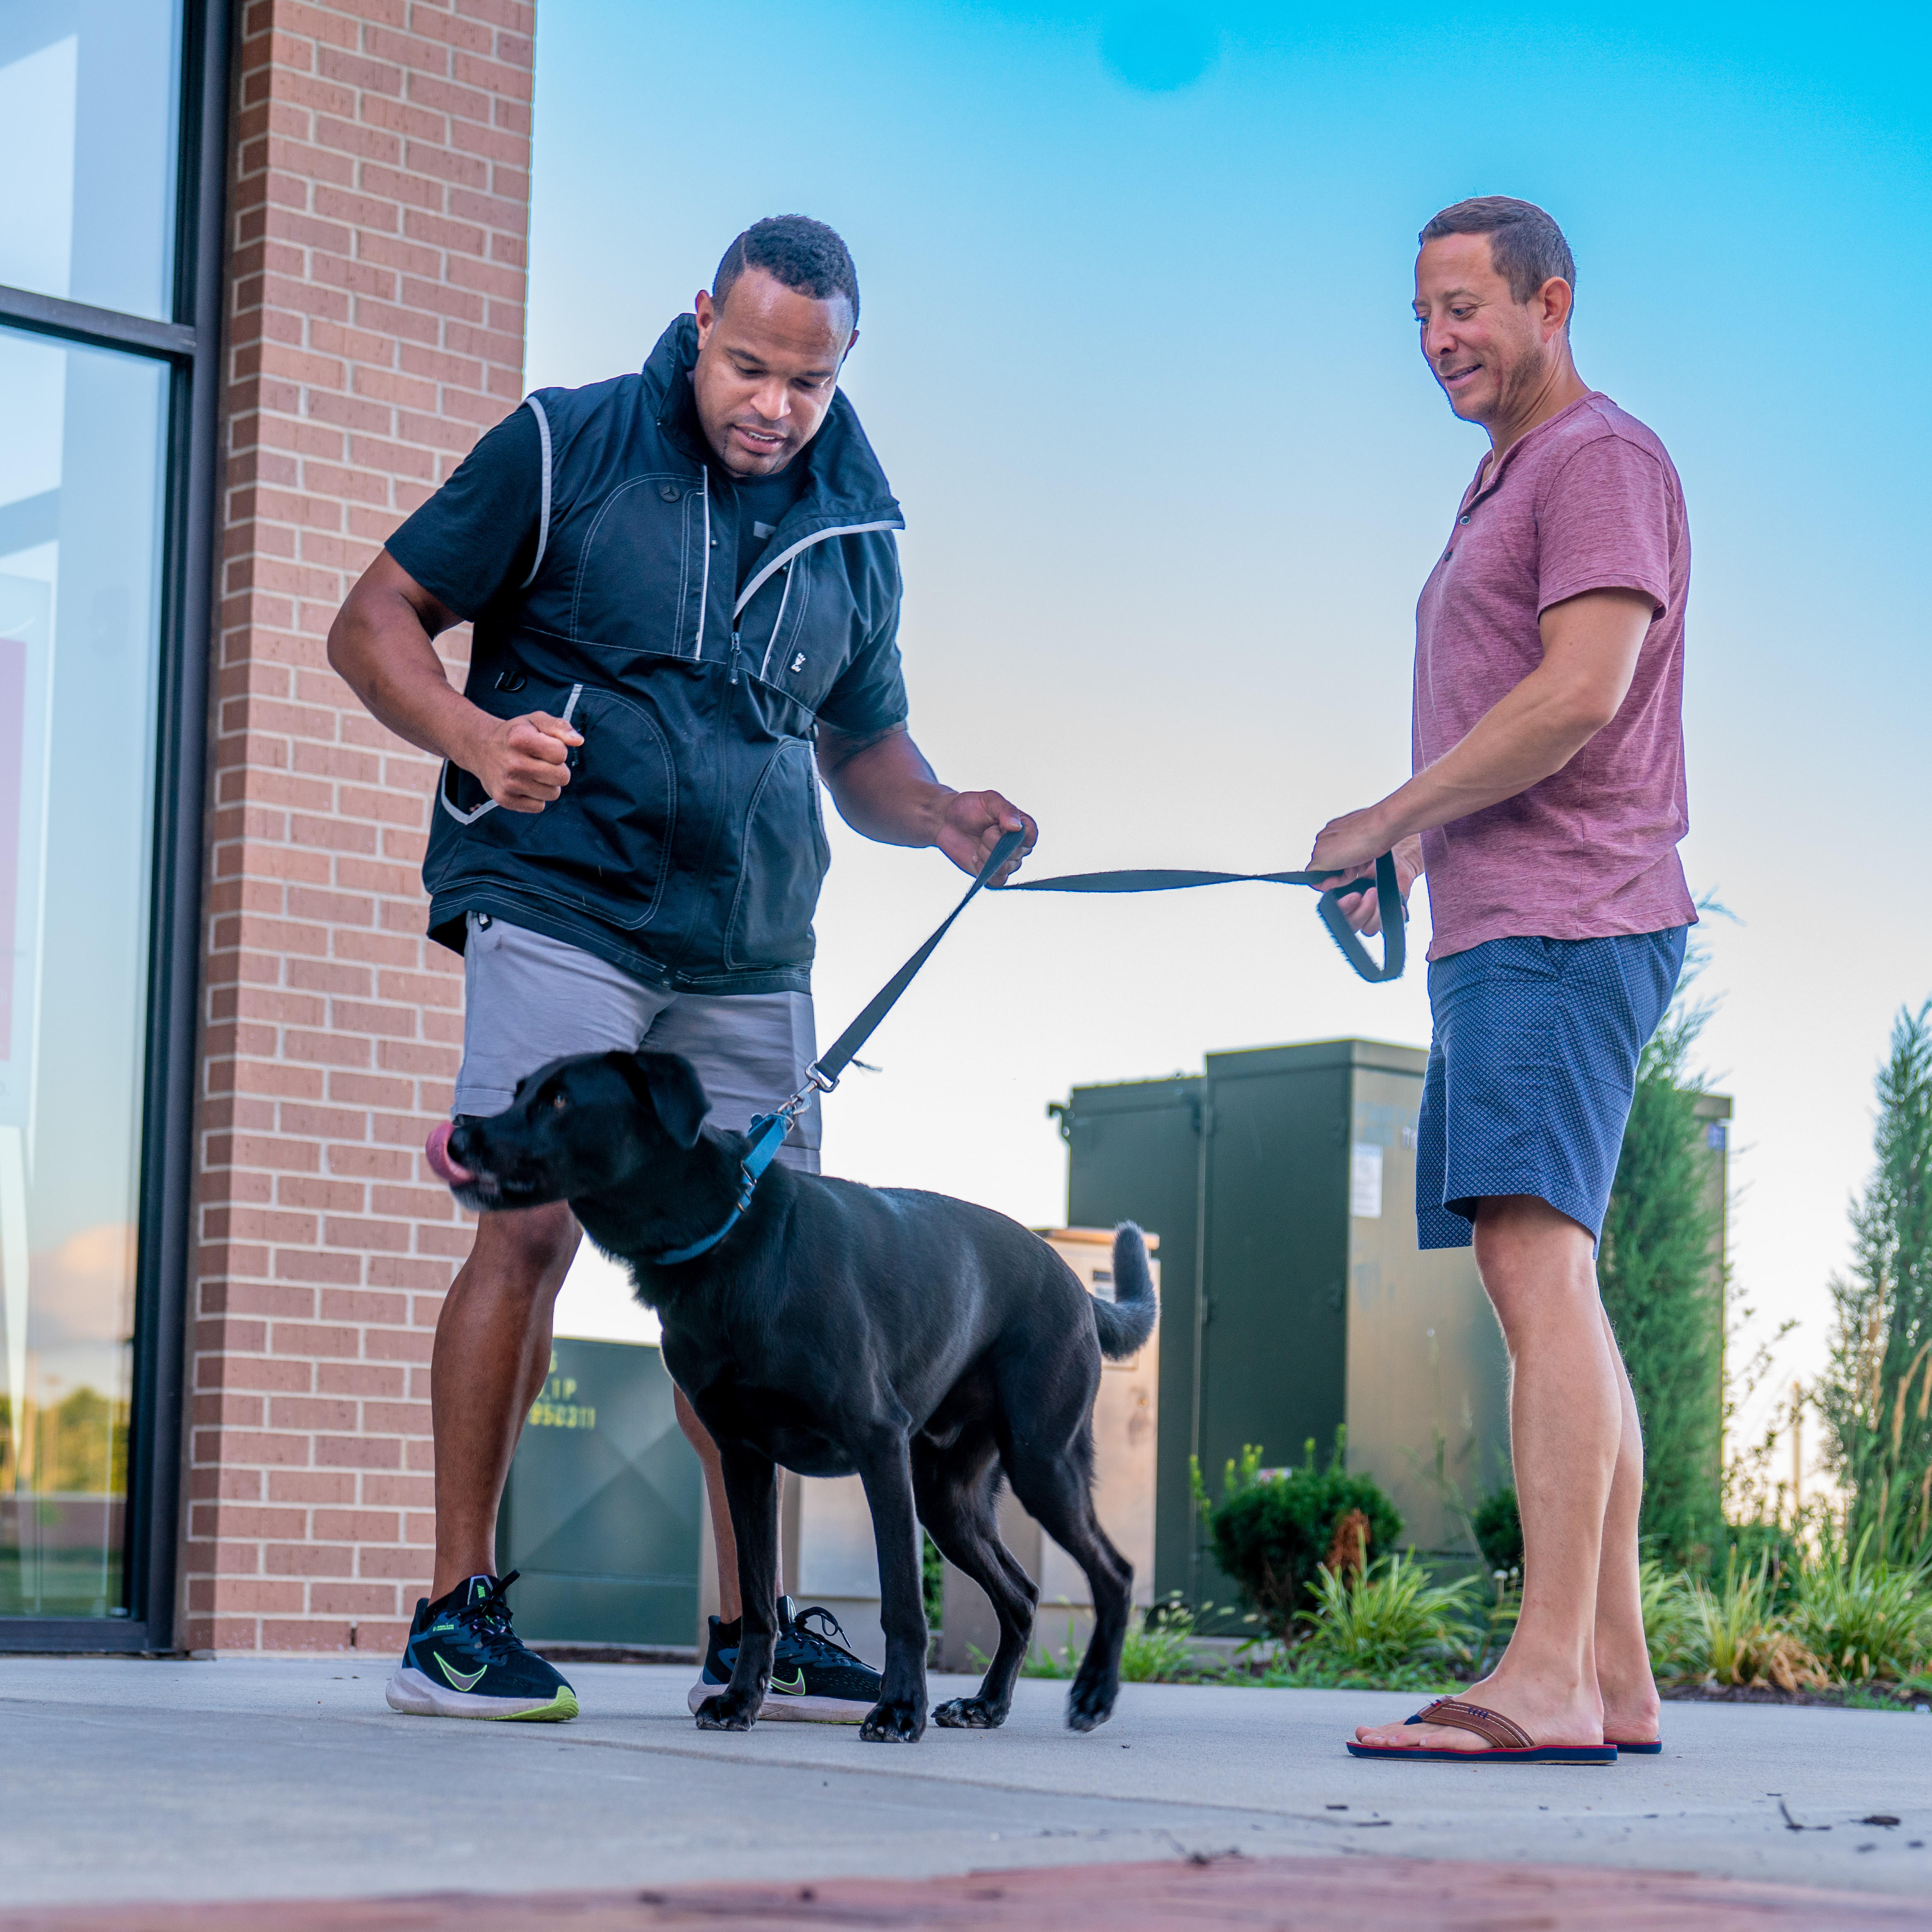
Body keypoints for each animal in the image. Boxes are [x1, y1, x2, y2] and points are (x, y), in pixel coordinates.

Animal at [436, 1051, 1151, 1746]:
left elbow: (902, 1604)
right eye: (517, 1091)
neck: (729, 1235)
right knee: (1024, 1595)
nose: (458, 1136)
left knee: (1113, 1572)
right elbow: (756, 1599)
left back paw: (1092, 1692)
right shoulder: (743, 1459)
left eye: (559, 1100)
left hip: (1038, 1461)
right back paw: (988, 1703)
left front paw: (899, 1710)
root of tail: (1078, 1288)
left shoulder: (877, 1445)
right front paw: (740, 1700)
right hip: (948, 1498)